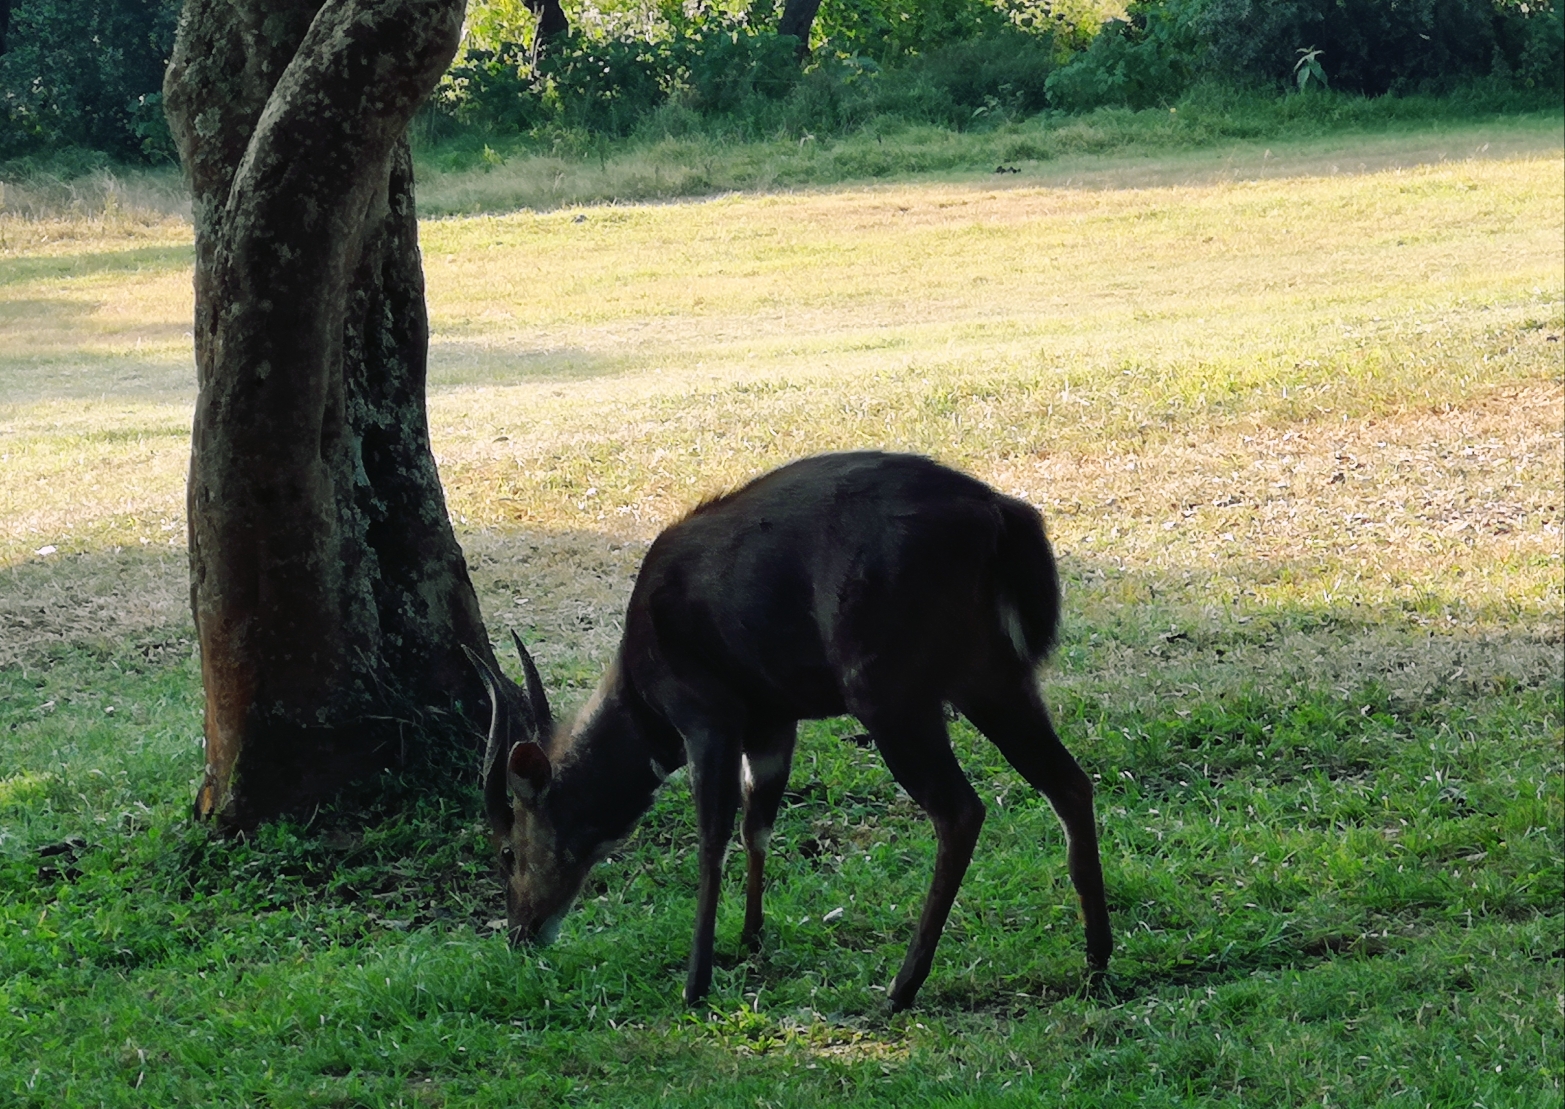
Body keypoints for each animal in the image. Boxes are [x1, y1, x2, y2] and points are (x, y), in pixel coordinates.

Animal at [466, 453, 1114, 1013]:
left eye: (506, 849)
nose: (521, 932)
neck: (640, 688)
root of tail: (1001, 515)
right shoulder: (773, 720)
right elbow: (758, 823)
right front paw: (750, 939)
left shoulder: (706, 713)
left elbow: (712, 837)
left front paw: (695, 981)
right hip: (992, 674)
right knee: (1069, 782)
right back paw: (1096, 961)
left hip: (889, 688)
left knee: (960, 810)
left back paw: (902, 986)